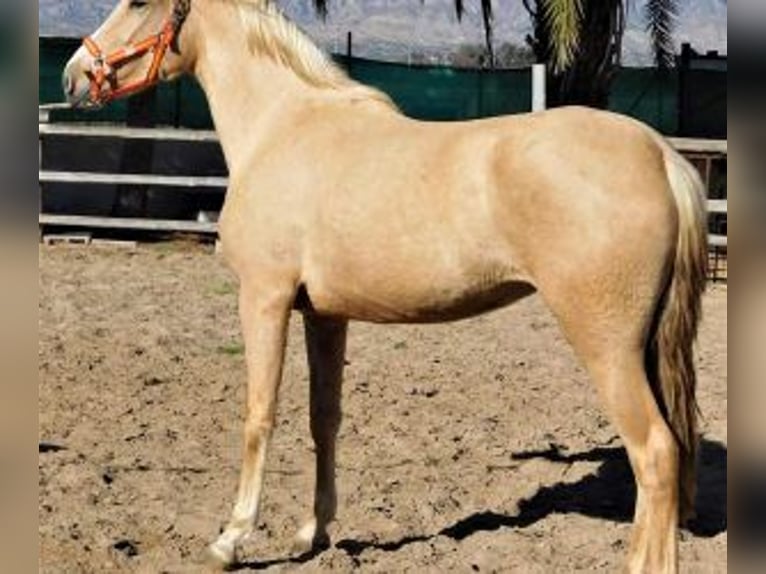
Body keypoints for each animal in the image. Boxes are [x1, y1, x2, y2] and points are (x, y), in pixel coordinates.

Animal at [62, 1, 707, 571]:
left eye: (139, 2)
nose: (73, 75)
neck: (281, 128)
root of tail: (658, 154)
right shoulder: (323, 314)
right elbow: (324, 419)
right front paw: (313, 533)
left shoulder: (264, 299)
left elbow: (258, 415)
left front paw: (231, 540)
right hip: (643, 347)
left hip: (607, 346)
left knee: (654, 451)